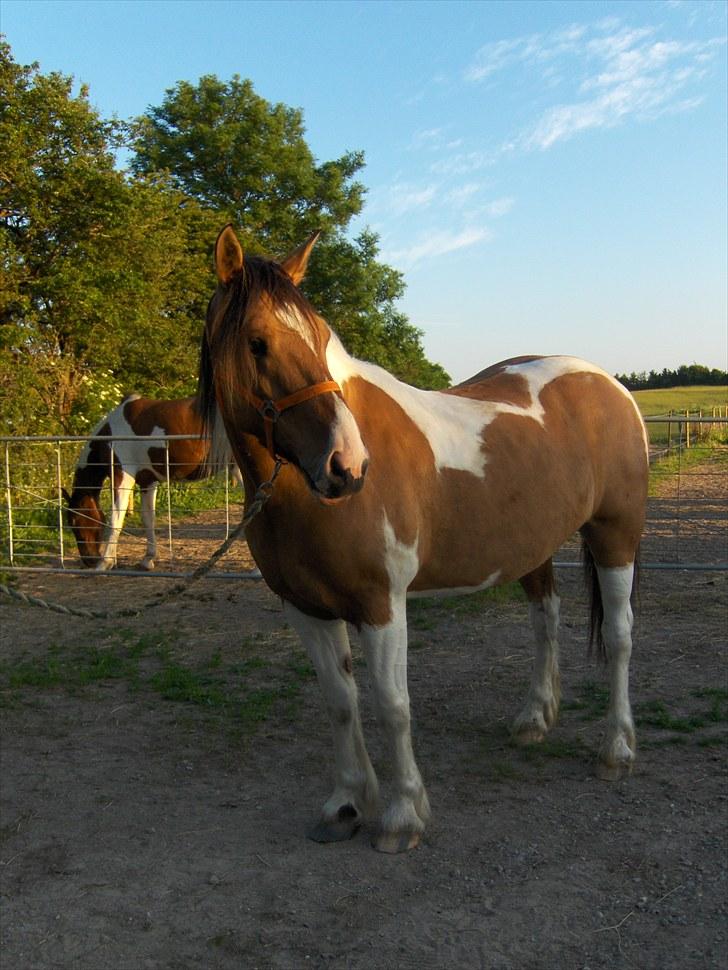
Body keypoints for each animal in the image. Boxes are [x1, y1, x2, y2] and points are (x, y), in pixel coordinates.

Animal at [64, 394, 236, 572]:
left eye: (74, 522)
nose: (89, 560)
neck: (110, 435)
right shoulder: (147, 482)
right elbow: (148, 518)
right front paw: (148, 559)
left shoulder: (122, 476)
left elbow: (116, 519)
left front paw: (105, 562)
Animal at [198, 223, 648, 852]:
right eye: (257, 342)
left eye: (320, 339)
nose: (347, 466)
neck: (302, 496)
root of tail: (610, 384)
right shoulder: (306, 608)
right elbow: (340, 703)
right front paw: (345, 804)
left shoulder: (381, 605)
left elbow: (392, 705)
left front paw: (402, 815)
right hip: (530, 548)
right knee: (545, 620)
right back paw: (535, 719)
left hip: (615, 535)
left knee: (621, 637)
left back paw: (617, 751)